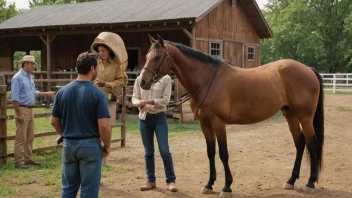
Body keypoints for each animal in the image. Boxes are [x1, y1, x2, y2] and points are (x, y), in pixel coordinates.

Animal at [140, 34, 324, 197]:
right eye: (147, 56)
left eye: (157, 57)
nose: (143, 82)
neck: (208, 80)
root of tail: (308, 69)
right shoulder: (205, 124)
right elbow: (211, 152)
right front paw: (209, 184)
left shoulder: (219, 123)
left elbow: (223, 153)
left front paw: (227, 186)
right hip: (290, 115)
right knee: (300, 143)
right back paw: (291, 180)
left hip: (305, 117)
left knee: (311, 143)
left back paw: (310, 183)